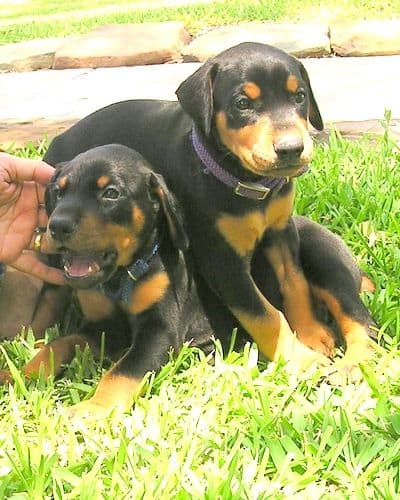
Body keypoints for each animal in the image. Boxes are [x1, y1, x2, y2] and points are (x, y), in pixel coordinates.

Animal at [0, 145, 225, 414]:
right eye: (59, 191)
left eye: (111, 193)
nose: (57, 226)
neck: (118, 279)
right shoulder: (102, 327)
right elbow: (58, 344)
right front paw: (19, 375)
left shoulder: (160, 329)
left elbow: (124, 371)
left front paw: (93, 409)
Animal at [44, 43, 378, 376]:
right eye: (242, 104)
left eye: (299, 97)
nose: (291, 149)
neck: (241, 180)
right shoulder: (220, 260)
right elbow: (265, 314)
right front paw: (299, 357)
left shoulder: (281, 231)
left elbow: (293, 283)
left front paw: (311, 334)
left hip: (324, 255)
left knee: (360, 318)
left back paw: (355, 361)